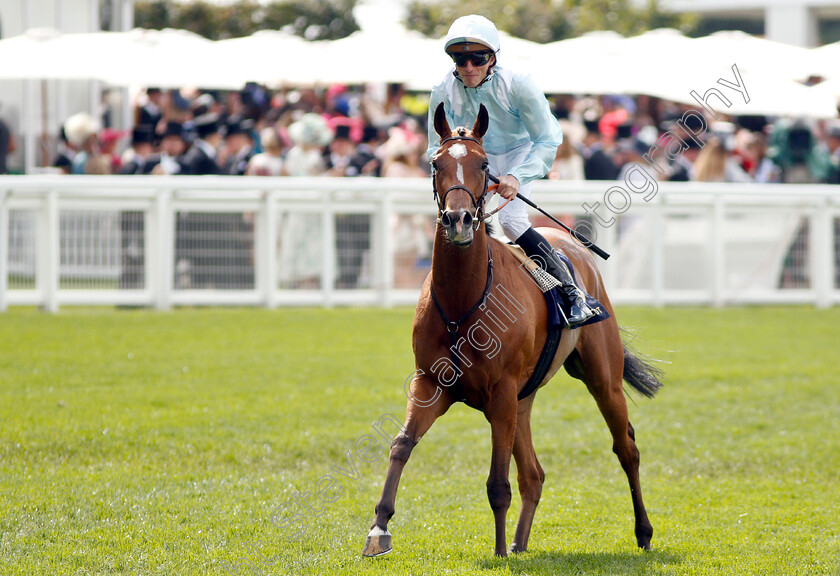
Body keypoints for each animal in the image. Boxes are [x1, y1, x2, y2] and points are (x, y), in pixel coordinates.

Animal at [362, 103, 664, 560]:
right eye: (435, 163)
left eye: (484, 165)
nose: (459, 220)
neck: (462, 301)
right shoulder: (431, 383)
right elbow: (401, 445)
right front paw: (379, 528)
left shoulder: (501, 392)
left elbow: (497, 483)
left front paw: (501, 551)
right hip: (523, 400)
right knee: (534, 474)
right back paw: (522, 542)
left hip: (601, 377)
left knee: (626, 448)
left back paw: (643, 532)